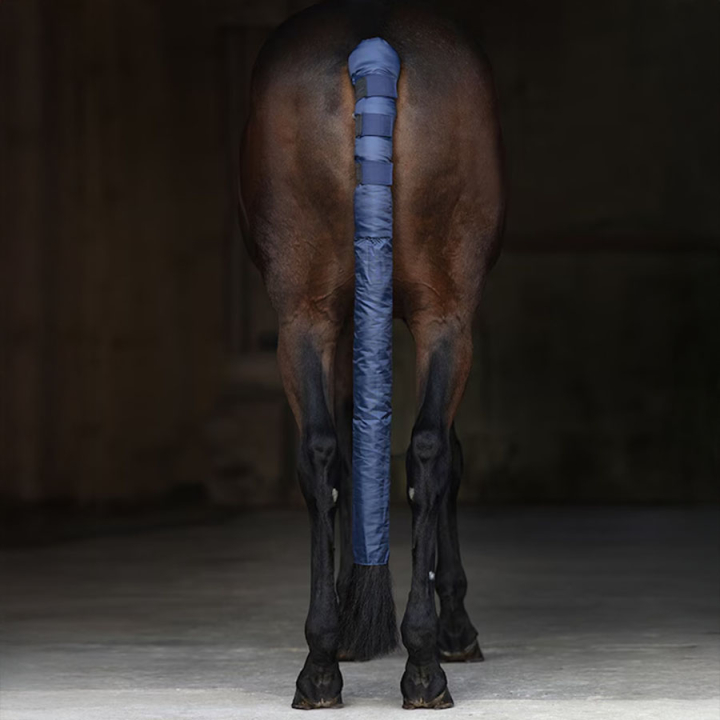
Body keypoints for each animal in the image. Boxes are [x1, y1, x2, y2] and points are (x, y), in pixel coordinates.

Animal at [239, 0, 504, 709]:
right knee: (431, 452)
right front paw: (454, 625)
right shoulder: (447, 317)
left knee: (324, 453)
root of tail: (373, 45)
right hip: (445, 315)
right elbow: (443, 454)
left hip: (303, 315)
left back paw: (321, 663)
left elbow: (349, 446)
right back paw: (425, 662)